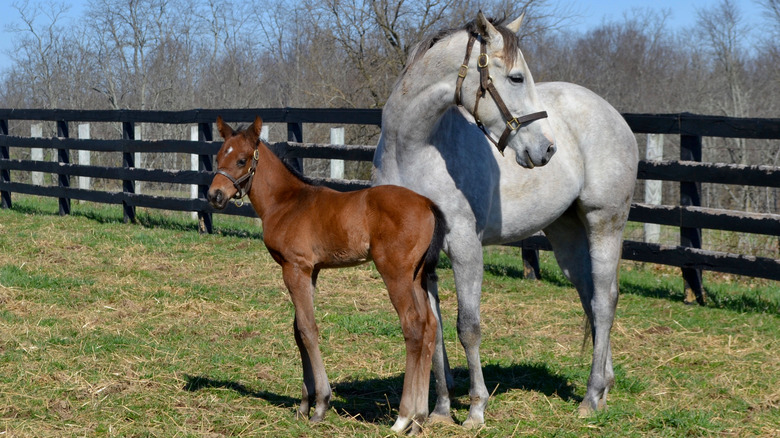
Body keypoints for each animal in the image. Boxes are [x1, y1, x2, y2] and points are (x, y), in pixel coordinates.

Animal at [204, 116, 444, 434]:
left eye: (242, 160)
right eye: (219, 157)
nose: (214, 195)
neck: (286, 202)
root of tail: (427, 203)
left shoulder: (295, 267)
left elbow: (308, 329)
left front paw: (320, 406)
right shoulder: (310, 271)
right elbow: (298, 330)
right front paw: (304, 405)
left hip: (396, 274)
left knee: (413, 326)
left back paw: (403, 418)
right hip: (417, 276)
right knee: (430, 327)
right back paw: (419, 420)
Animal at [374, 12, 640, 428]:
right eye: (516, 78)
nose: (546, 149)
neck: (411, 151)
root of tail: (612, 114)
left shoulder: (465, 247)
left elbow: (468, 328)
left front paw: (476, 410)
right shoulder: (422, 259)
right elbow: (434, 329)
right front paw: (441, 411)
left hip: (605, 224)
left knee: (604, 300)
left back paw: (591, 396)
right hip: (567, 233)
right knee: (590, 296)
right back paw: (605, 387)